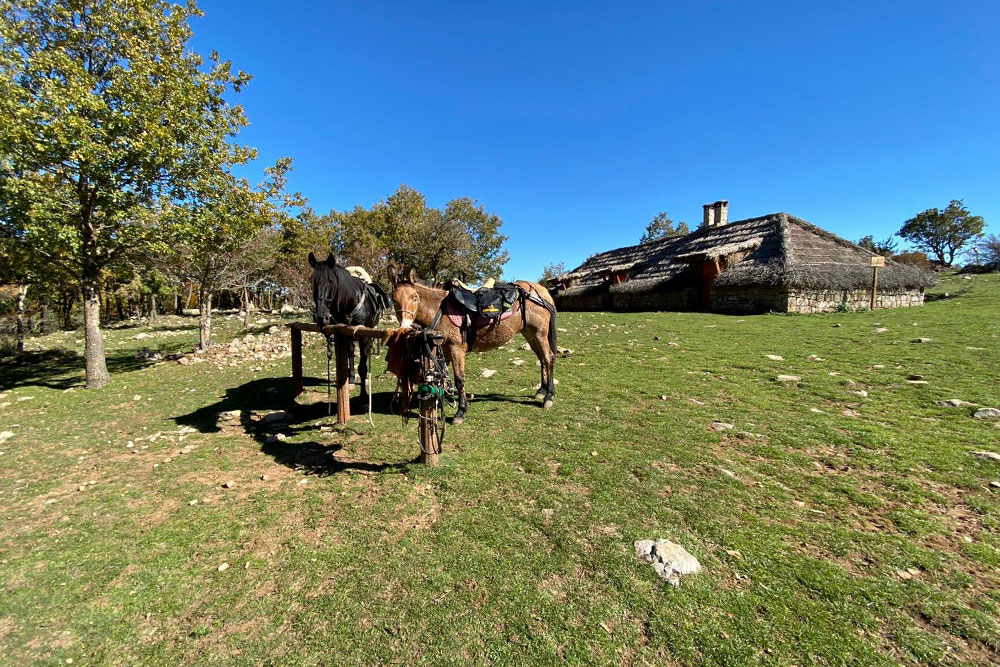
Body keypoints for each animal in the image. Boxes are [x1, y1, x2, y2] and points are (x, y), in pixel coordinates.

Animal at [388, 266, 560, 422]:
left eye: (414, 298)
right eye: (394, 300)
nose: (405, 326)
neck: (439, 309)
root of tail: (541, 291)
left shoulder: (456, 350)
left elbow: (459, 380)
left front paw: (460, 412)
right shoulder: (443, 350)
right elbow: (441, 377)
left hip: (539, 334)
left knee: (548, 358)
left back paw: (549, 397)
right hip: (530, 334)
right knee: (542, 359)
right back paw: (541, 391)